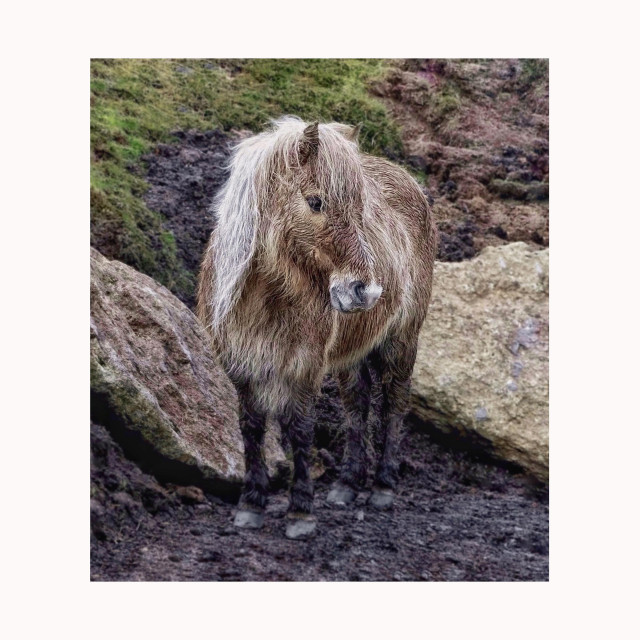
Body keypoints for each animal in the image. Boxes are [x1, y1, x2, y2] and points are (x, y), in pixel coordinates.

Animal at [197, 116, 437, 539]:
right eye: (315, 202)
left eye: (361, 208)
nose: (364, 290)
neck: (267, 298)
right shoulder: (241, 367)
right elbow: (251, 428)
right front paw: (251, 504)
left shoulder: (304, 367)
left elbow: (300, 431)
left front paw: (301, 512)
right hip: (352, 355)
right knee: (357, 404)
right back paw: (346, 485)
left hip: (401, 340)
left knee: (394, 402)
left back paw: (383, 486)